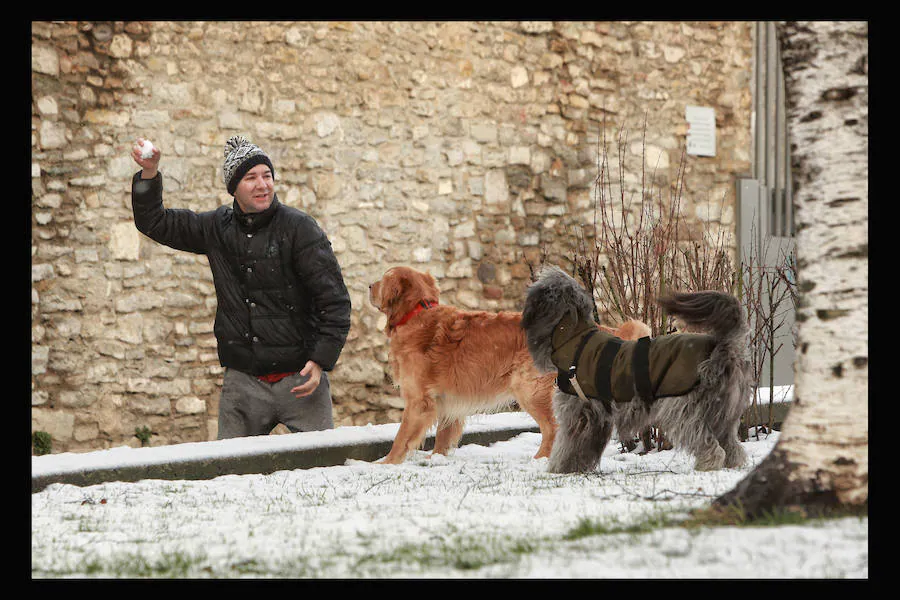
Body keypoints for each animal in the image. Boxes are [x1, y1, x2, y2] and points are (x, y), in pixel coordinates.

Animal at [520, 268, 752, 474]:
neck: (574, 338)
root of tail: (722, 347)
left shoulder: (579, 413)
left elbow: (569, 446)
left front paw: (559, 469)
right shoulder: (596, 418)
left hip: (684, 410)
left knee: (708, 443)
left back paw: (708, 464)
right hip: (722, 413)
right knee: (732, 446)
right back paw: (731, 464)